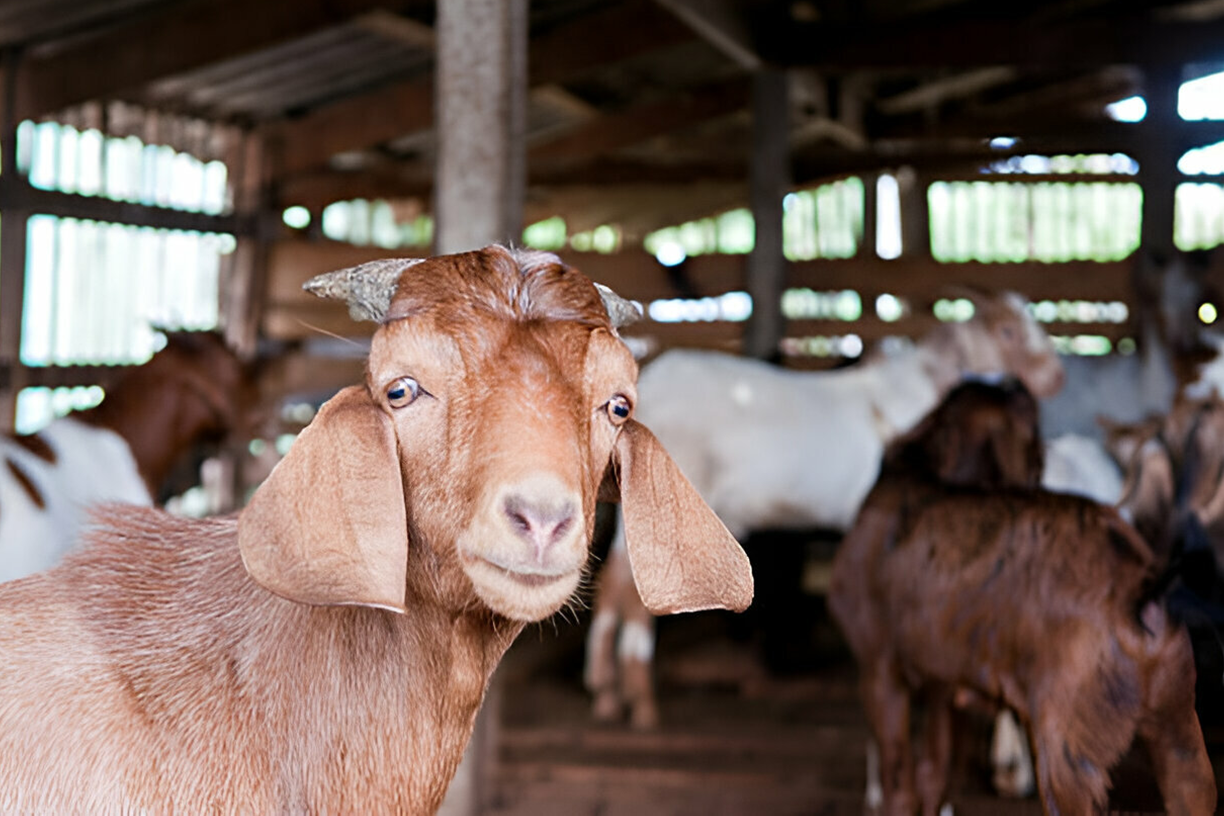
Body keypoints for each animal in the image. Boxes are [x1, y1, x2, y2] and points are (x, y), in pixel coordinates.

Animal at [829, 381, 1216, 816]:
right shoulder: (943, 683)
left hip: (1067, 747)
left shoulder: (880, 668)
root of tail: (1141, 587)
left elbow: (900, 783)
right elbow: (934, 773)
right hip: (1180, 728)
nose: (1014, 384)